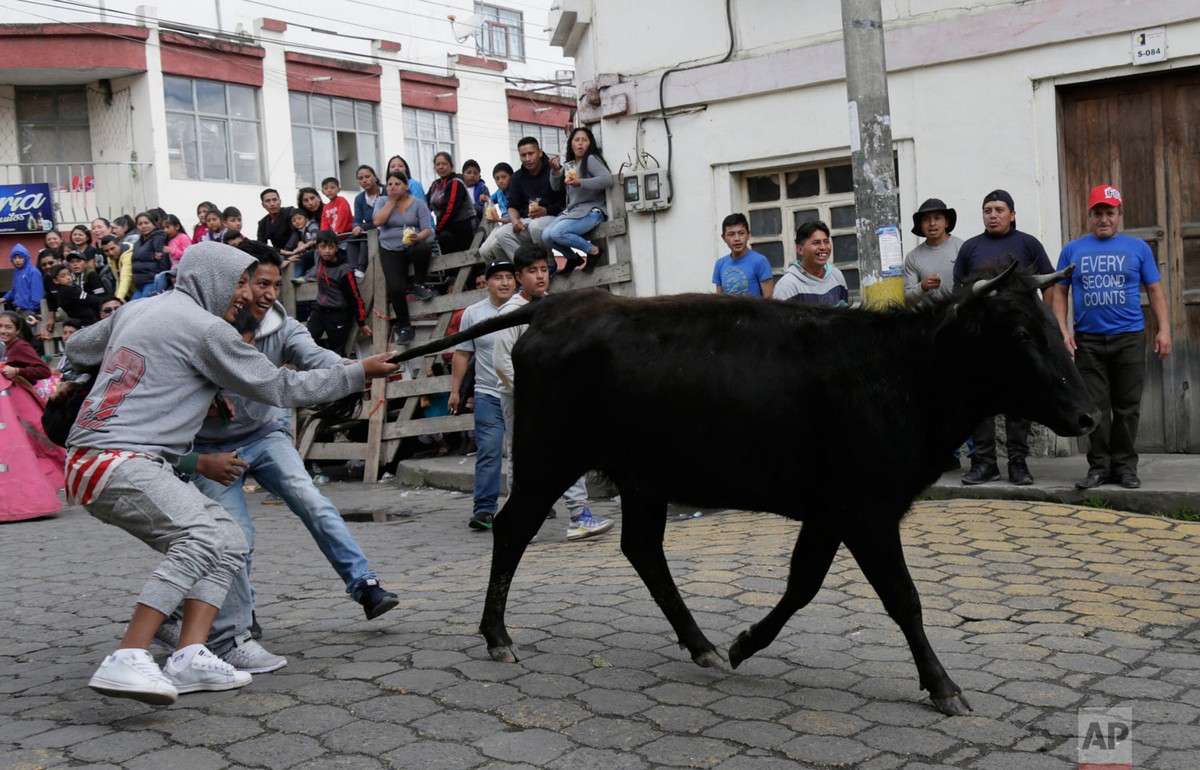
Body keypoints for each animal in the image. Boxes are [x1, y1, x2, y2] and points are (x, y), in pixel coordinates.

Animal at [391, 262, 1099, 714]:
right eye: (1019, 332)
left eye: (1049, 324)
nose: (1089, 415)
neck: (899, 370)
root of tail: (565, 303)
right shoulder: (867, 511)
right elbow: (904, 600)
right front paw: (944, 686)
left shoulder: (834, 512)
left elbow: (803, 584)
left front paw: (743, 643)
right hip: (549, 455)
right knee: (514, 528)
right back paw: (497, 637)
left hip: (642, 475)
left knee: (643, 551)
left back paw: (703, 646)